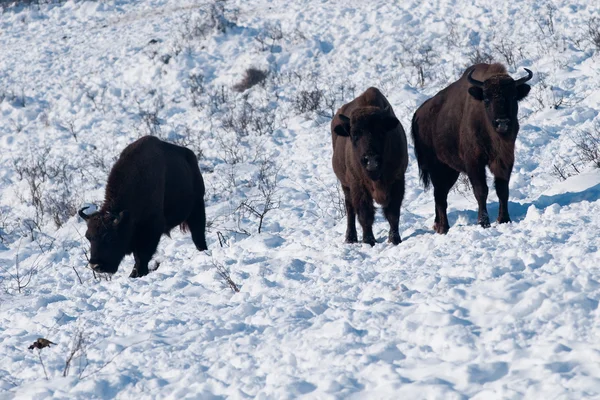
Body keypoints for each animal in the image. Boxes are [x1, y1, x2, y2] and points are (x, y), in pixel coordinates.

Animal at [79, 136, 207, 276]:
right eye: (88, 237)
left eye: (109, 237)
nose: (95, 266)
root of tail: (190, 157)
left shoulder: (151, 229)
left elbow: (142, 256)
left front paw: (137, 274)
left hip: (197, 207)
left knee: (198, 233)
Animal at [330, 86, 410, 247]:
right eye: (354, 134)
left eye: (381, 132)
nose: (371, 159)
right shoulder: (358, 185)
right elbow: (365, 215)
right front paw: (369, 241)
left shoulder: (397, 180)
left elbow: (393, 213)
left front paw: (395, 239)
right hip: (345, 186)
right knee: (350, 209)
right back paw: (350, 238)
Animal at [412, 61, 536, 233]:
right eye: (486, 99)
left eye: (512, 97)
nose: (502, 122)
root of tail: (418, 113)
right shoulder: (474, 162)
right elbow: (481, 190)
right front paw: (483, 222)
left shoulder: (504, 159)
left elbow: (502, 189)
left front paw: (504, 219)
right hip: (437, 168)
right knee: (440, 195)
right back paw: (444, 227)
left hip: (451, 171)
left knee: (441, 194)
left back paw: (438, 225)